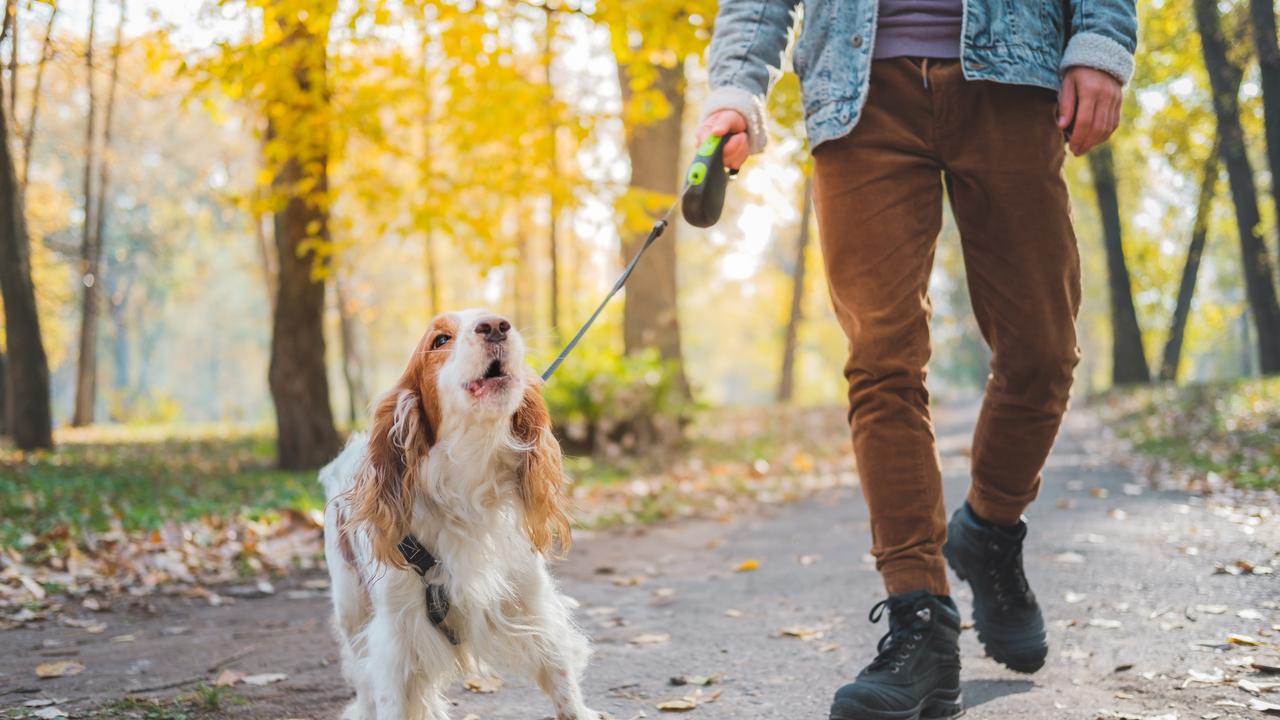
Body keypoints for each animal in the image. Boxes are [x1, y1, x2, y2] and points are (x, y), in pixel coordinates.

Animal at [320, 308, 599, 717]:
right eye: (439, 340)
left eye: (498, 318)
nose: (496, 326)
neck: (467, 482)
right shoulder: (395, 640)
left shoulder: (532, 606)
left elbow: (563, 686)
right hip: (351, 611)